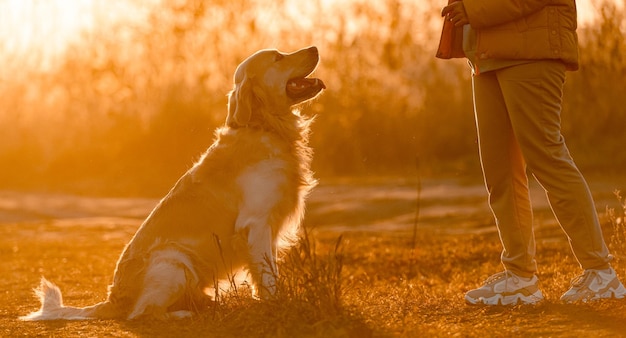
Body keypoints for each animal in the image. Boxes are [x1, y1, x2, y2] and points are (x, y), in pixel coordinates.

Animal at [20, 46, 322, 320]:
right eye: (278, 57)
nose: (315, 48)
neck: (265, 128)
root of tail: (113, 299)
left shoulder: (267, 228)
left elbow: (270, 272)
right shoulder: (256, 224)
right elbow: (268, 277)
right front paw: (276, 305)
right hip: (174, 262)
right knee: (144, 313)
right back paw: (185, 314)